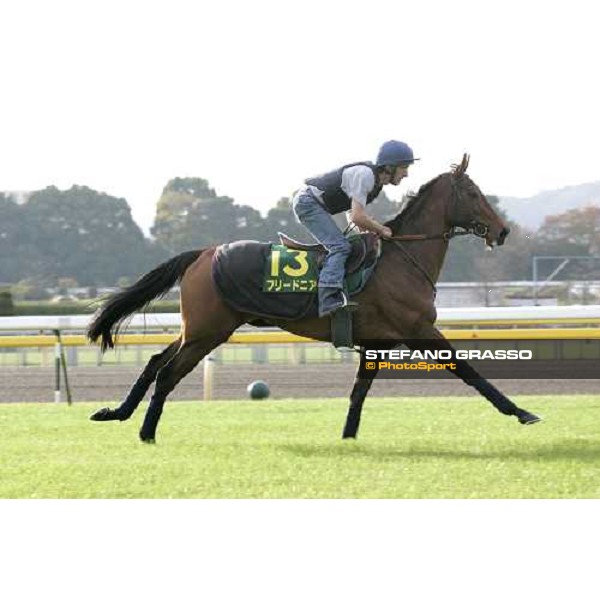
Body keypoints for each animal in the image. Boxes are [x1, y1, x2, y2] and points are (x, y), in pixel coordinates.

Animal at [86, 155, 540, 442]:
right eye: (475, 193)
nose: (502, 231)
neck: (402, 258)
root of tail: (201, 253)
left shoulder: (376, 343)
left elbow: (359, 392)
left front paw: (348, 438)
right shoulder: (419, 329)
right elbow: (469, 372)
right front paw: (521, 412)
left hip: (197, 329)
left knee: (154, 362)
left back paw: (116, 413)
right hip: (208, 331)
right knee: (167, 373)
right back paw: (146, 432)